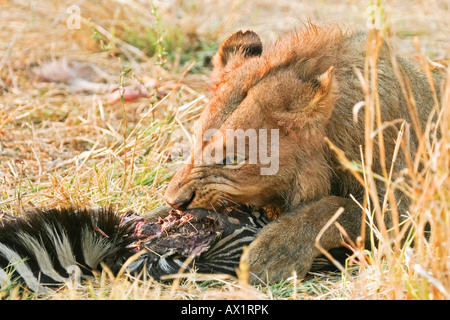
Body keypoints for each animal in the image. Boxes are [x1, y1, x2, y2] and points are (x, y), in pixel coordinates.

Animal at [162, 26, 440, 284]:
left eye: (233, 160)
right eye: (195, 140)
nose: (174, 201)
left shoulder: (406, 207)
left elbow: (332, 208)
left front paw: (274, 251)